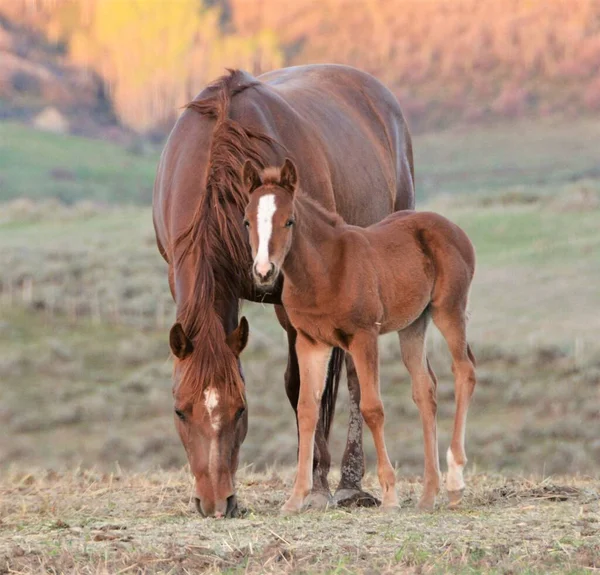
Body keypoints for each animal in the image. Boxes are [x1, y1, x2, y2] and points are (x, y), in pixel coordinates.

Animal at [152, 65, 414, 520]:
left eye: (241, 410)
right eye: (180, 411)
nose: (216, 504)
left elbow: (302, 388)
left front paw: (317, 484)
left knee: (354, 378)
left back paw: (348, 483)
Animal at [241, 160, 476, 516]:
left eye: (289, 220)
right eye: (246, 221)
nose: (264, 272)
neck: (325, 271)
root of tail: (454, 229)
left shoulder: (364, 337)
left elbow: (372, 408)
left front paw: (390, 495)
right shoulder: (310, 342)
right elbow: (306, 409)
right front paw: (295, 499)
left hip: (448, 310)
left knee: (464, 371)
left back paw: (454, 482)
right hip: (413, 324)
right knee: (425, 389)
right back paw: (428, 495)